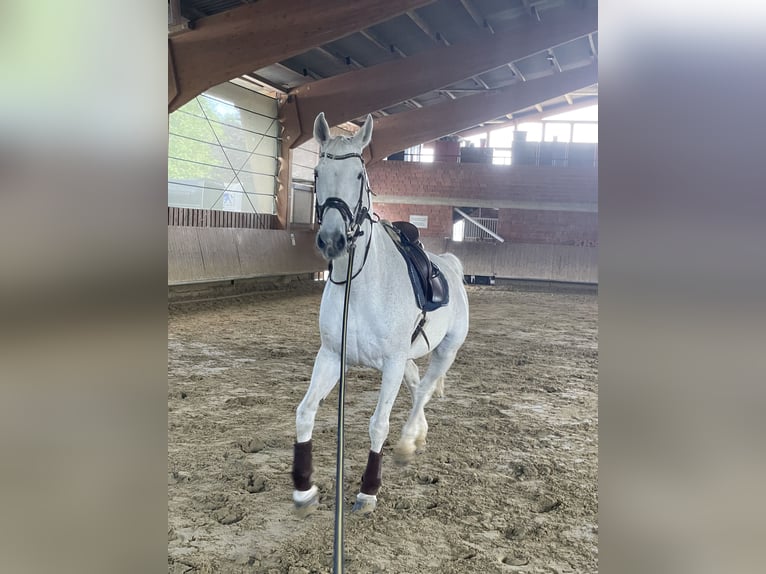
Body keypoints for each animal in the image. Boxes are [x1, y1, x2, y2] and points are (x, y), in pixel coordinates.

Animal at [292, 112, 468, 516]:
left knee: (426, 388)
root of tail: (450, 263)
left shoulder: (390, 362)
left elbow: (378, 424)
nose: (333, 240)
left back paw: (406, 442)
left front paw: (369, 488)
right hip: (407, 358)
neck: (360, 286)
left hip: (446, 350)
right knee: (418, 383)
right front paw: (304, 488)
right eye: (317, 172)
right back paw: (418, 436)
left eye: (360, 174)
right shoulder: (332, 356)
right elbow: (305, 411)